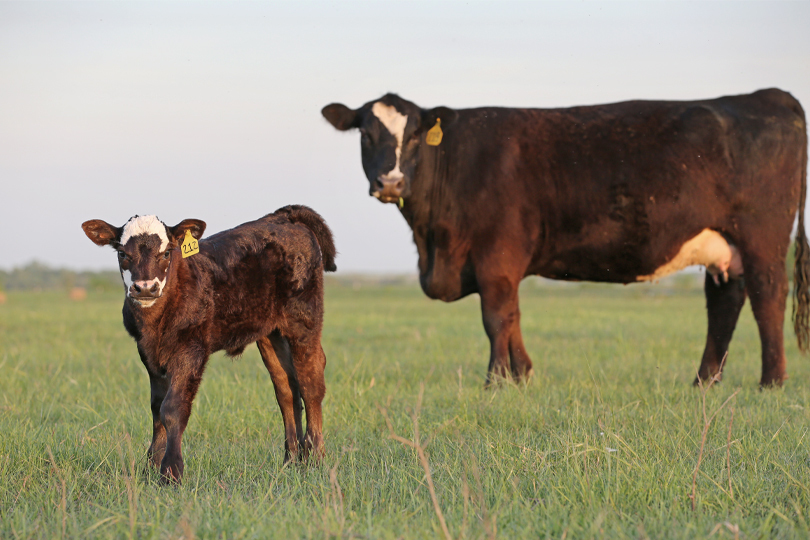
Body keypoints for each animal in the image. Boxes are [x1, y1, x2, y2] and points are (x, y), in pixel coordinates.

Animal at [81, 205, 337, 484]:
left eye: (167, 252)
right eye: (122, 253)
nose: (145, 288)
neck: (155, 324)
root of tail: (283, 216)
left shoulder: (192, 349)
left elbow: (172, 408)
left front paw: (171, 472)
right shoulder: (149, 353)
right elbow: (157, 408)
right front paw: (150, 468)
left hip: (304, 319)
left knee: (311, 383)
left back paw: (315, 458)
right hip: (271, 333)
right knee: (286, 390)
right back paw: (291, 461)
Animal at [322, 89, 809, 387]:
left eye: (415, 137)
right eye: (366, 134)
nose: (391, 181)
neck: (433, 242)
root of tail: (769, 96)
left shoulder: (497, 255)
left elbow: (496, 316)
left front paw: (496, 380)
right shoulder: (503, 264)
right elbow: (513, 316)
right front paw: (522, 375)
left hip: (763, 237)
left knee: (768, 296)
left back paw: (772, 381)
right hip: (724, 247)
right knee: (725, 304)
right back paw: (704, 382)